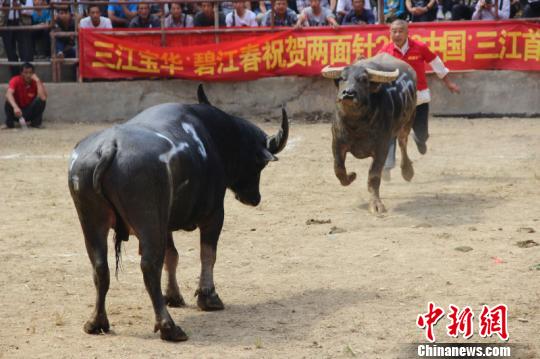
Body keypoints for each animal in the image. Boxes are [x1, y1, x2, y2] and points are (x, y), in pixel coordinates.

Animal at [68, 86, 288, 342]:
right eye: (260, 164)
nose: (254, 198)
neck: (212, 136)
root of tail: (109, 146)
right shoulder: (214, 214)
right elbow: (207, 254)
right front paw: (208, 298)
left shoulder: (166, 223)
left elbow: (172, 256)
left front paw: (173, 296)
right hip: (149, 222)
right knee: (149, 267)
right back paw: (168, 327)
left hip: (92, 222)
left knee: (100, 268)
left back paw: (97, 322)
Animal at [320, 53, 418, 214]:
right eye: (342, 78)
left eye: (364, 79)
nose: (348, 93)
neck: (357, 125)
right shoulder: (337, 143)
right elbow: (339, 169)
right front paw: (351, 176)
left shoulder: (381, 147)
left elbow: (374, 175)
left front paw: (376, 204)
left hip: (408, 121)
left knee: (403, 142)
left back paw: (407, 171)